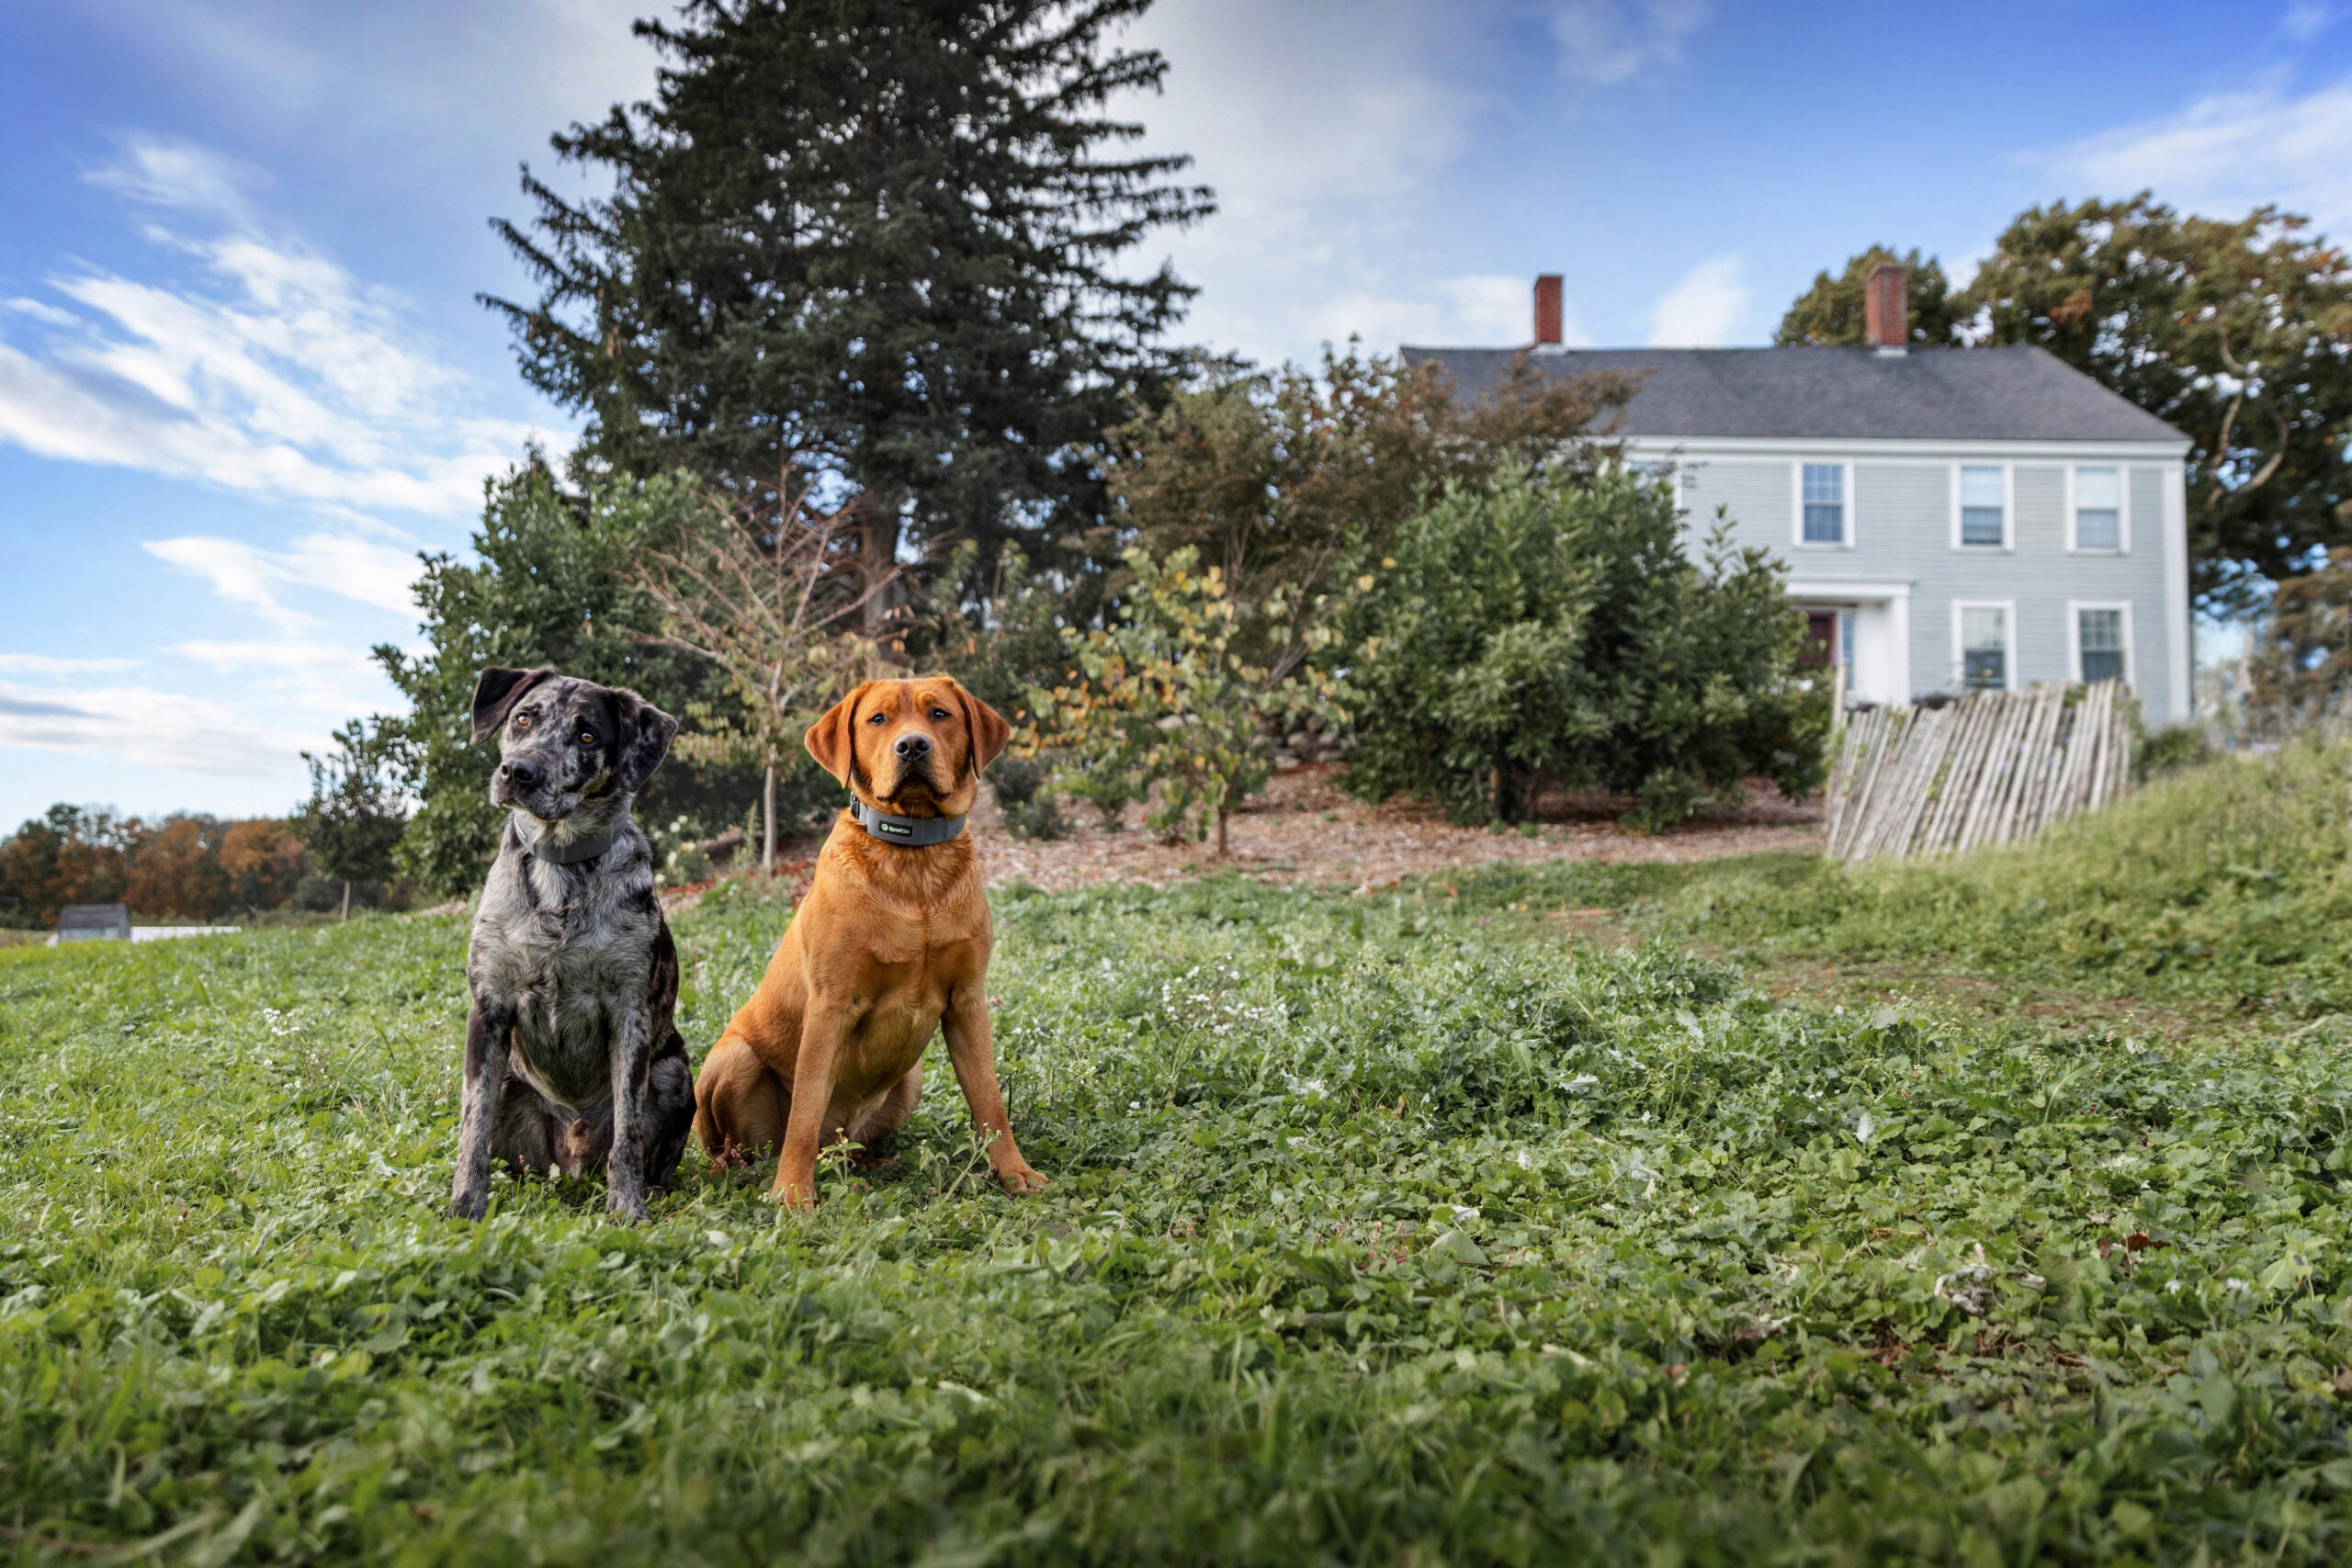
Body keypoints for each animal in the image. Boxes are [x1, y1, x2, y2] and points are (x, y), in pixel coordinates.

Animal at [444, 667, 691, 1222]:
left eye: (587, 736)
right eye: (522, 718)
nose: (518, 772)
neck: (560, 867)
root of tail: (574, 1155)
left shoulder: (630, 1015)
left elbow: (627, 1135)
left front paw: (627, 1210)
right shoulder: (488, 1010)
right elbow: (472, 1125)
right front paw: (464, 1205)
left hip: (675, 1071)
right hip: (513, 1086)